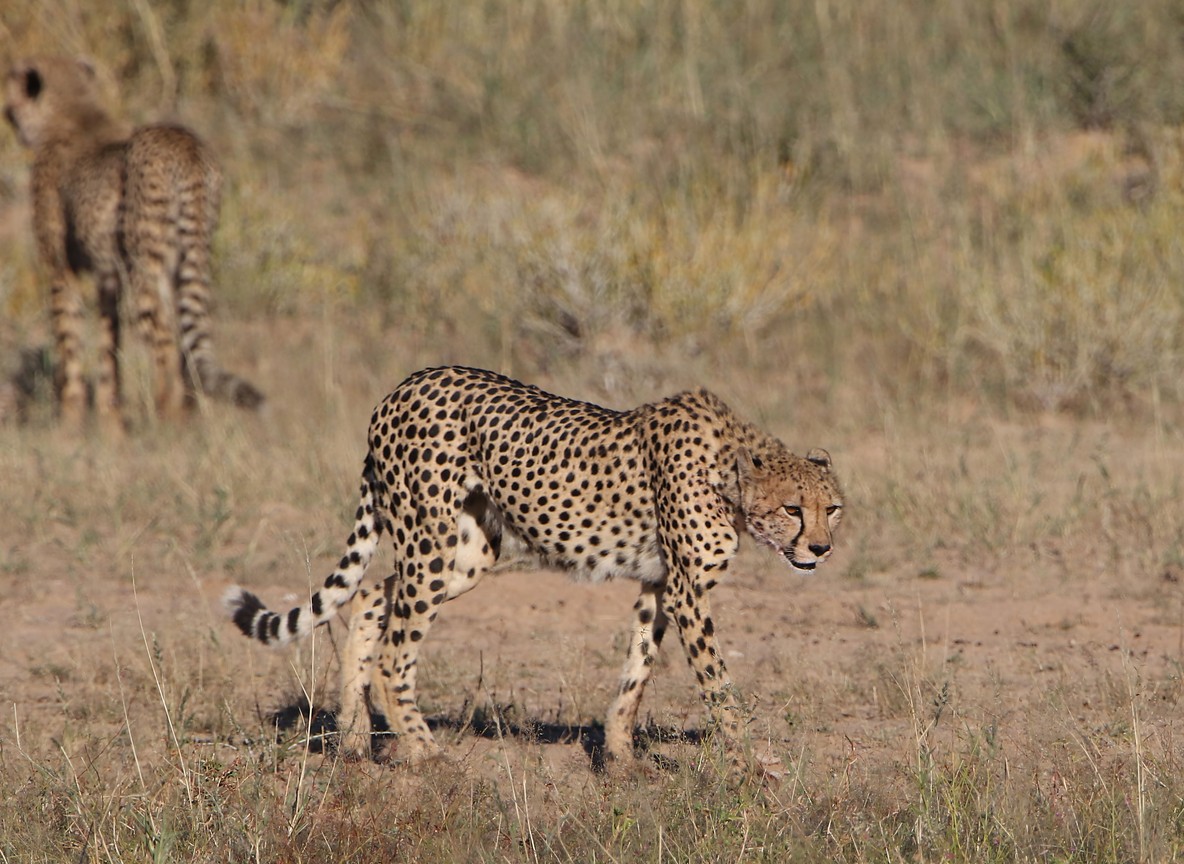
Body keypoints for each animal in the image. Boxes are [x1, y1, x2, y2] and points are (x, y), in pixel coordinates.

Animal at [3, 55, 264, 429]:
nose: (7, 112)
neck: (73, 111)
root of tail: (184, 141)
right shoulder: (107, 277)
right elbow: (108, 344)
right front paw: (110, 418)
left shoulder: (60, 269)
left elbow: (69, 341)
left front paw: (69, 421)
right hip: (190, 258)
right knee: (187, 339)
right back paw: (191, 413)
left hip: (145, 264)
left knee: (165, 339)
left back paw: (168, 416)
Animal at [225, 365, 843, 765]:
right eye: (792, 509)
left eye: (832, 508)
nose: (821, 550)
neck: (729, 476)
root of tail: (402, 386)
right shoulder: (688, 590)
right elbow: (719, 685)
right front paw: (749, 767)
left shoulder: (659, 585)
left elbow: (637, 668)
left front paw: (620, 758)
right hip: (431, 540)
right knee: (396, 652)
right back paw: (425, 753)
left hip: (468, 554)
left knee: (372, 595)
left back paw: (355, 736)